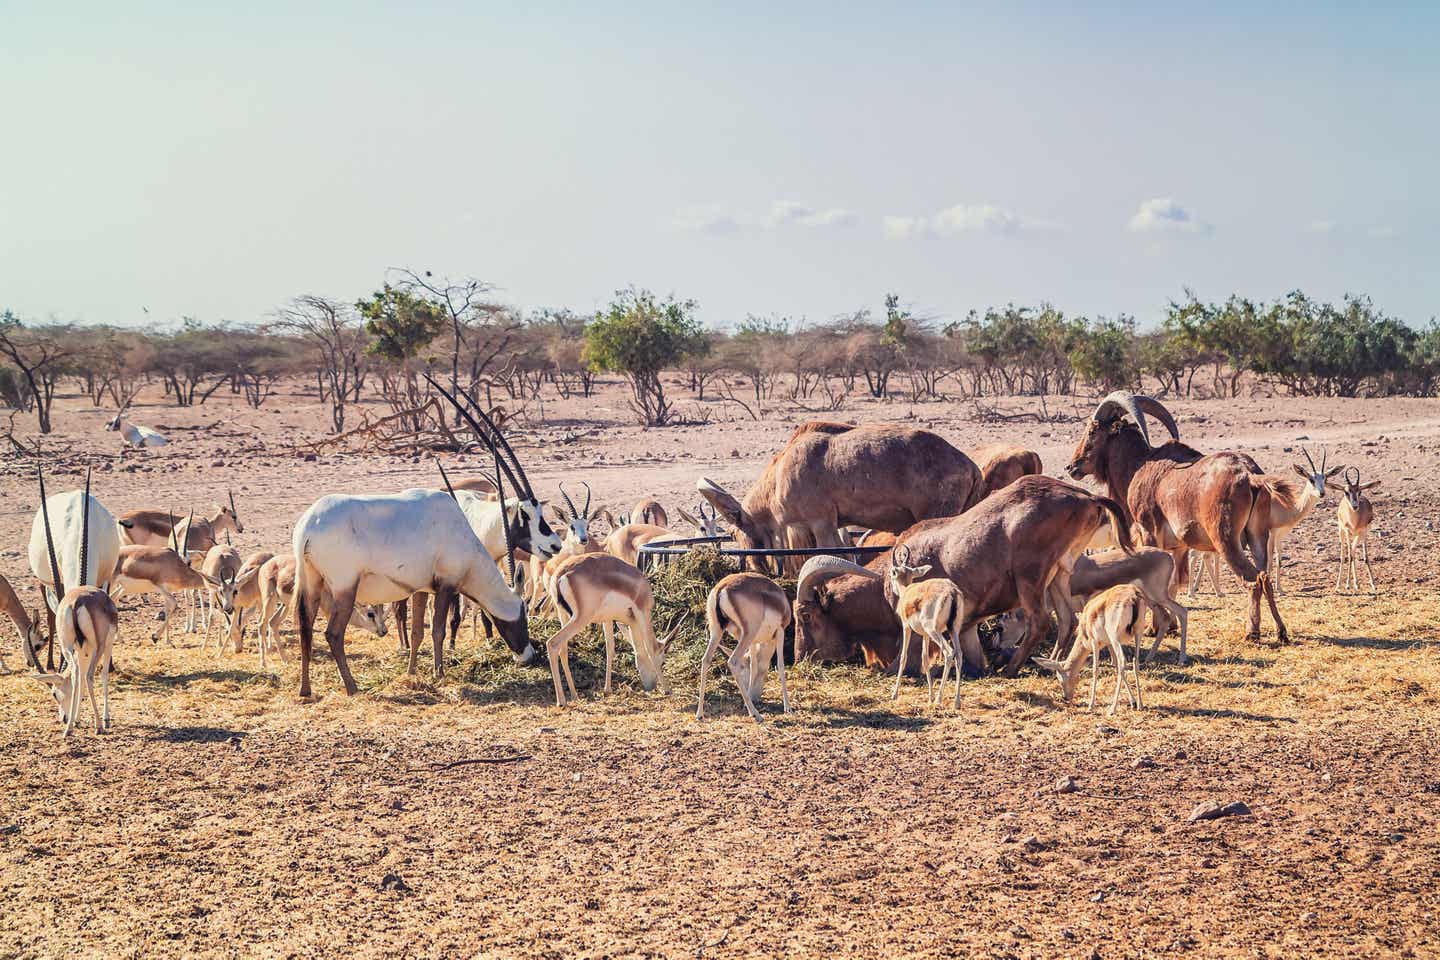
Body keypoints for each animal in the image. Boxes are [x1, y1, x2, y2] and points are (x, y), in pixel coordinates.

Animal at [541, 555, 676, 705]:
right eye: (663, 661)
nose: (651, 686)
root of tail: (561, 574)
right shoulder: (643, 612)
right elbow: (651, 649)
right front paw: (667, 689)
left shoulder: (608, 619)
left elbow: (610, 649)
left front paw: (607, 690)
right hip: (581, 618)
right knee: (552, 643)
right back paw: (561, 701)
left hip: (563, 615)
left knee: (563, 650)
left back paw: (574, 695)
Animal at [694, 575, 794, 725]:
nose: (756, 696)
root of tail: (722, 588)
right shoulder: (780, 631)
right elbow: (780, 666)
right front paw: (787, 707)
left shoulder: (753, 641)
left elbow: (753, 666)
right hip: (748, 632)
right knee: (732, 661)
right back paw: (756, 715)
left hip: (718, 631)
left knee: (706, 659)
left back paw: (700, 714)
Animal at [881, 544, 973, 711]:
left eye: (892, 574)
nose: (892, 589)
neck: (907, 592)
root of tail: (952, 591)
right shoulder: (924, 634)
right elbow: (924, 658)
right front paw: (929, 695)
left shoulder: (906, 627)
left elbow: (903, 657)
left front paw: (894, 694)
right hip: (953, 630)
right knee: (959, 654)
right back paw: (956, 702)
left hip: (935, 631)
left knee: (949, 653)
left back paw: (939, 699)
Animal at [1036, 581, 1146, 716]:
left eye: (1060, 679)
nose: (1066, 698)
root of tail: (1133, 596)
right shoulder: (1109, 643)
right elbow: (1115, 666)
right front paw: (1133, 701)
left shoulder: (1095, 642)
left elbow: (1095, 669)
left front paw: (1091, 706)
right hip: (1137, 633)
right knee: (1135, 662)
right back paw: (1140, 705)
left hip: (1115, 637)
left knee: (1122, 661)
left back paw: (1112, 709)